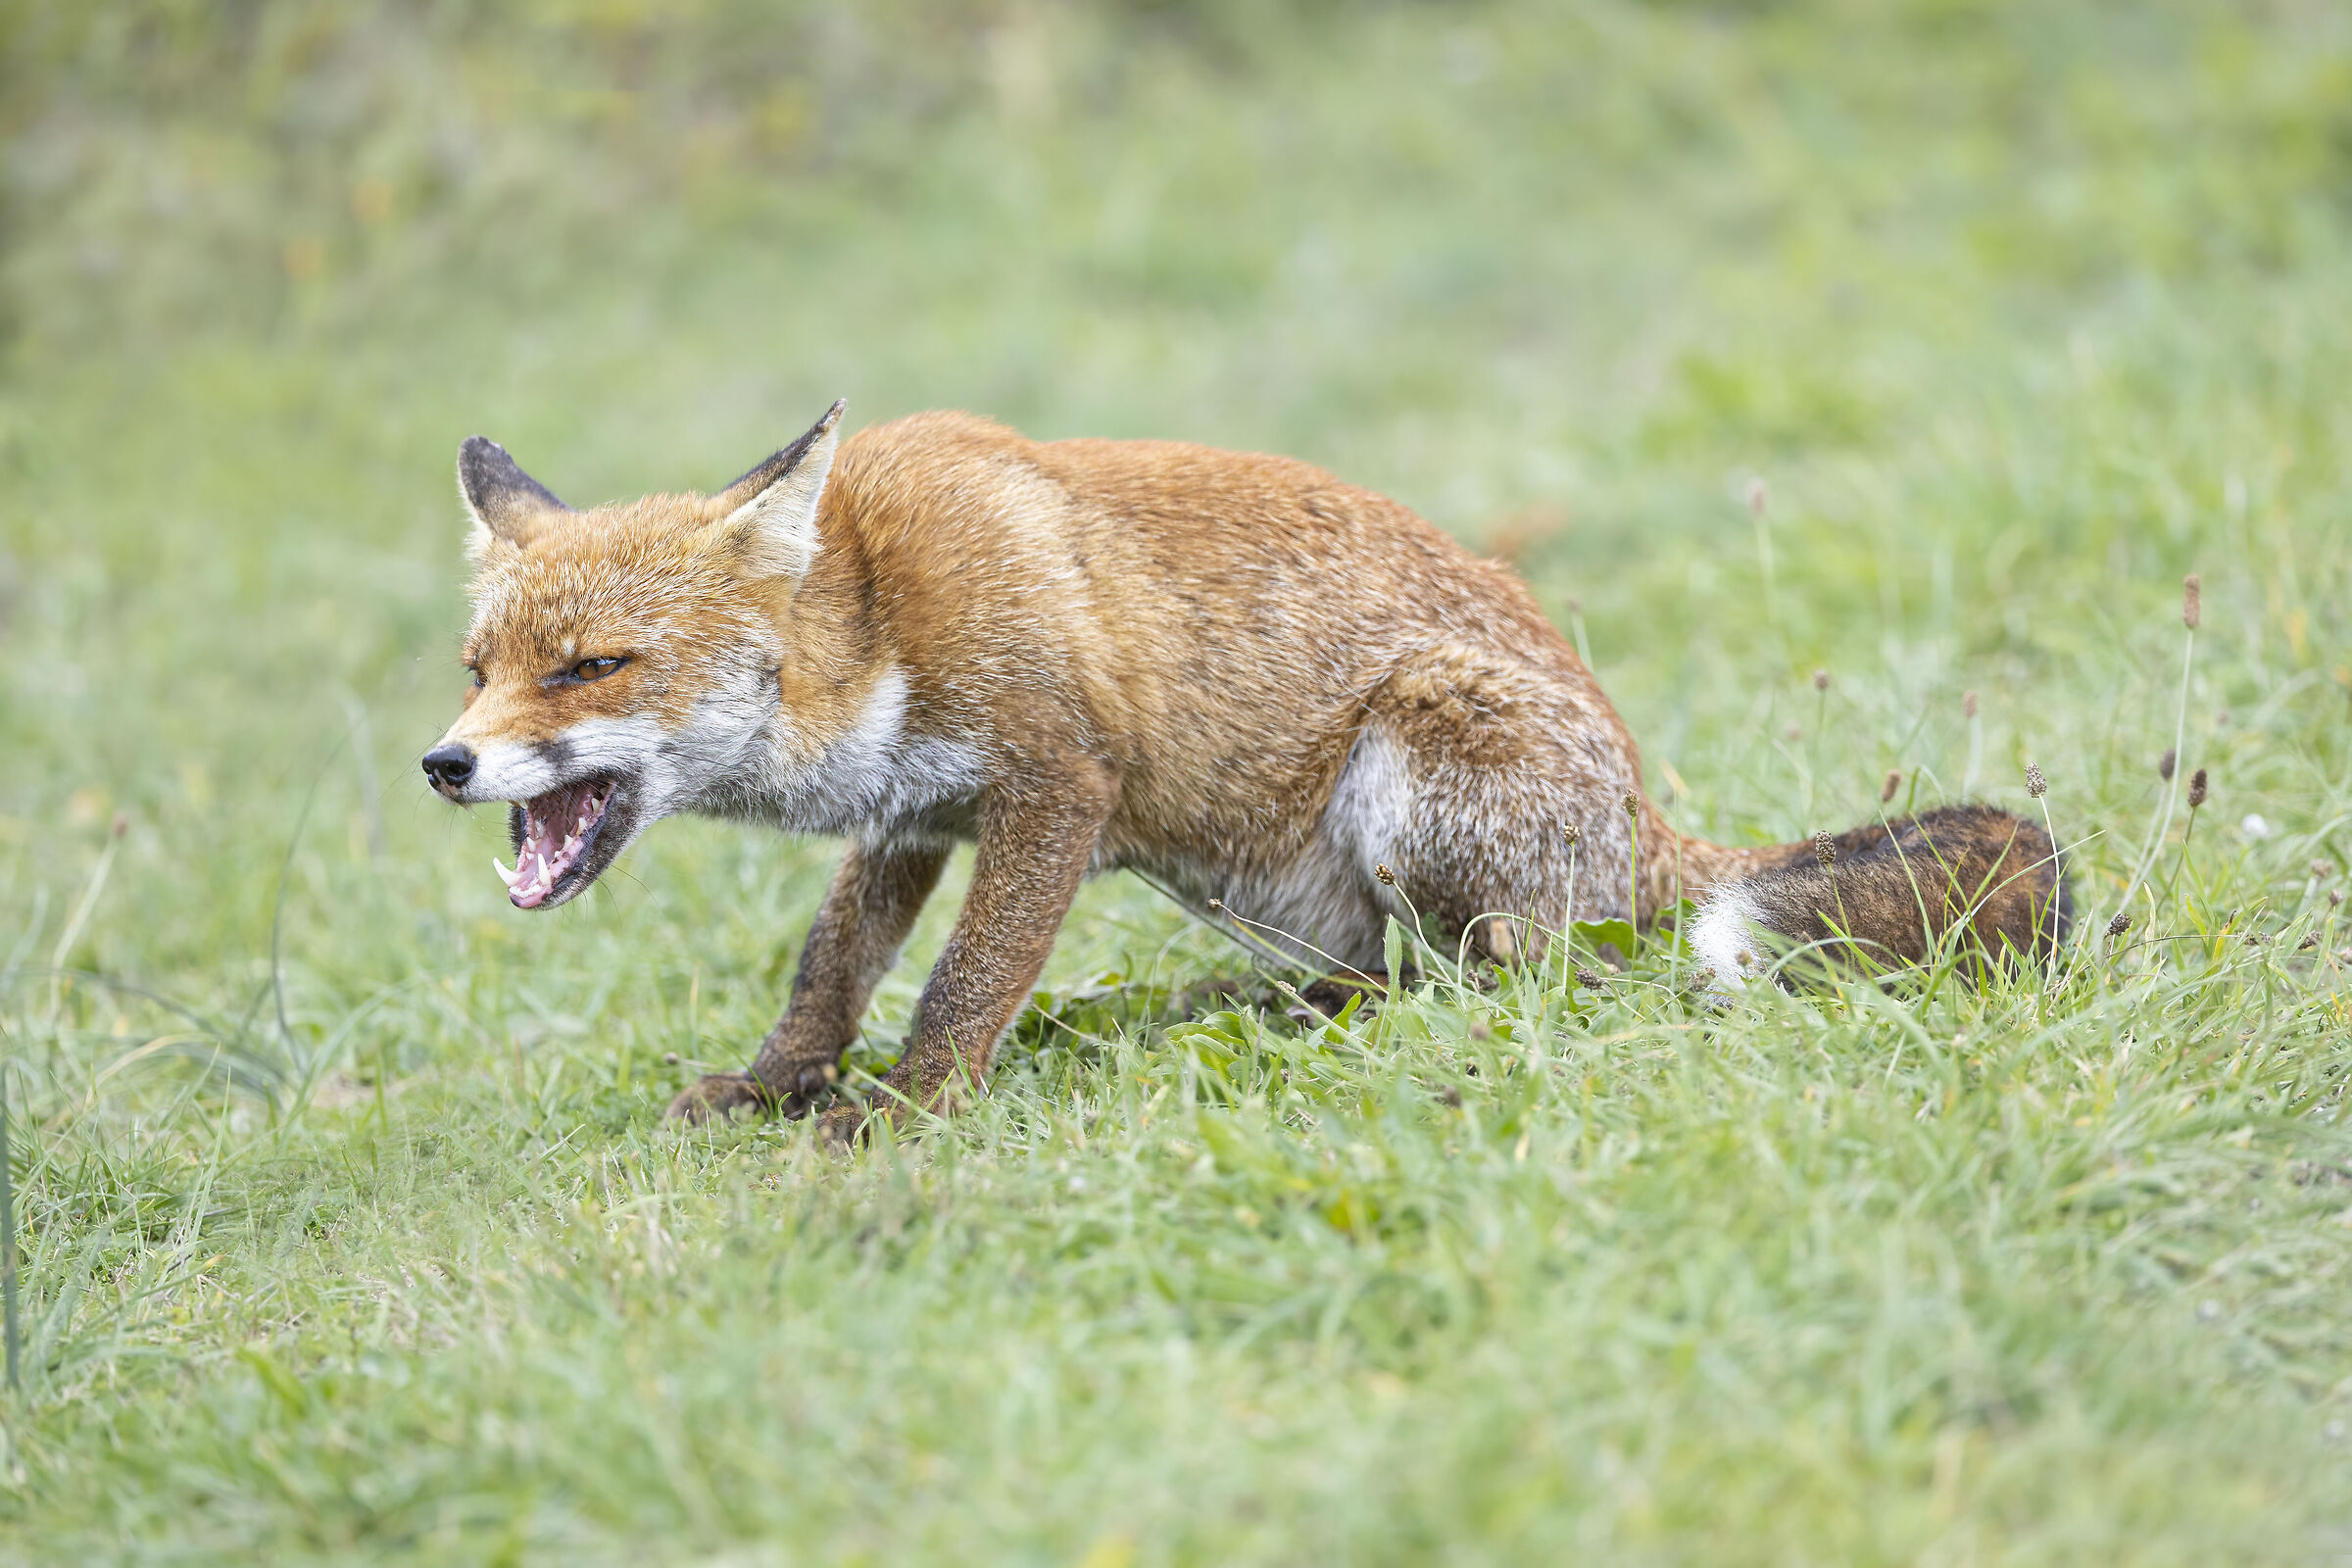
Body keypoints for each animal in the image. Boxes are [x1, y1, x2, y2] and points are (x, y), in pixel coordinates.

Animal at [423, 401, 2070, 1142]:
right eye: (478, 664)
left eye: (591, 668)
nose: (446, 763)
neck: (877, 615)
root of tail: (1654, 831)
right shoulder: (915, 815)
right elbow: (831, 968)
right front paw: (779, 1084)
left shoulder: (1053, 785)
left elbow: (962, 984)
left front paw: (903, 1116)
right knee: (1379, 979)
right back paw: (1198, 1017)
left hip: (1419, 767)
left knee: (1525, 984)